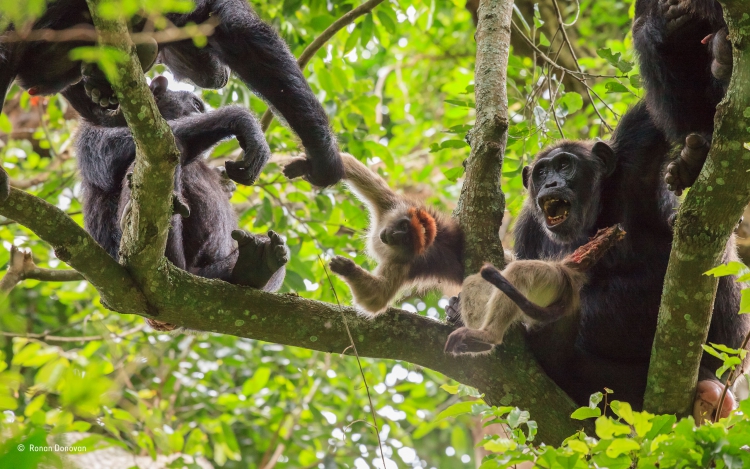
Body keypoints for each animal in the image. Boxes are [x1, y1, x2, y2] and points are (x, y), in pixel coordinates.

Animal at [76, 75, 288, 300]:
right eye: (196, 104)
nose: (200, 113)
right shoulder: (92, 128)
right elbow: (112, 149)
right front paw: (241, 120)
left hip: (208, 274)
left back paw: (256, 263)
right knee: (168, 148)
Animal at [450, 100, 748, 418]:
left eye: (564, 165)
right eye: (541, 172)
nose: (551, 182)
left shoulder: (636, 147)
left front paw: (690, 162)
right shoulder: (528, 227)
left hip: (726, 355)